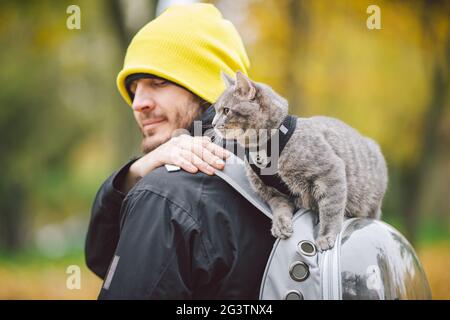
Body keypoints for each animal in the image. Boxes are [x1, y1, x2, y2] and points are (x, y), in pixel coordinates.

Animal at [213, 71, 388, 251]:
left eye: (226, 110)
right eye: (215, 110)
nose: (213, 124)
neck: (262, 149)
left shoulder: (331, 172)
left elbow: (330, 210)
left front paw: (326, 236)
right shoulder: (272, 193)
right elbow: (280, 209)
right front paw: (280, 224)